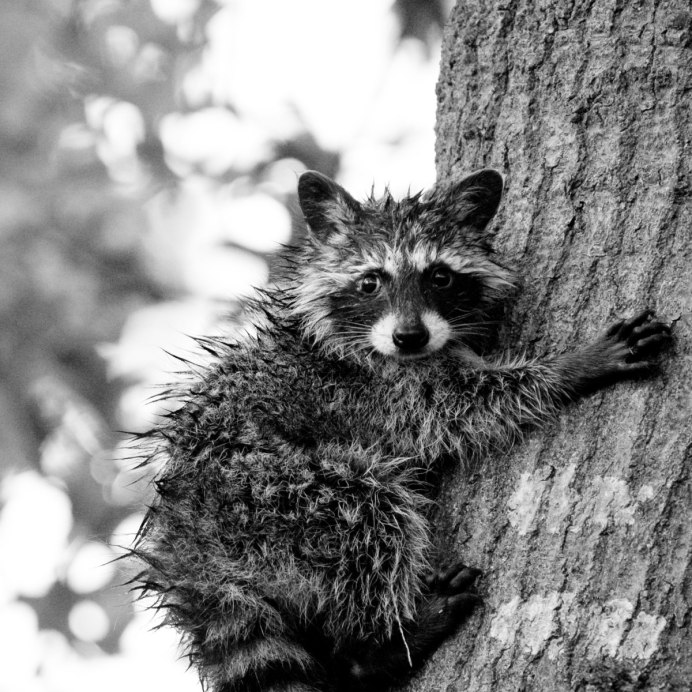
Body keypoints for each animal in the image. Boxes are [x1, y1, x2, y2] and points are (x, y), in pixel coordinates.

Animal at [133, 169, 671, 692]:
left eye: (440, 277)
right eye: (371, 282)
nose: (410, 337)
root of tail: (185, 548)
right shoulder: (373, 389)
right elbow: (462, 410)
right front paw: (570, 367)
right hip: (264, 493)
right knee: (368, 510)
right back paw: (373, 648)